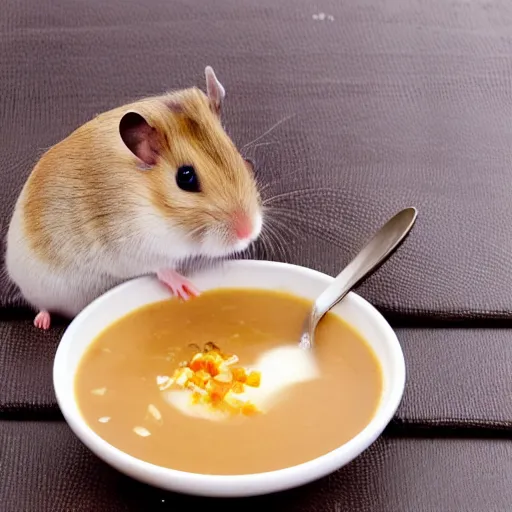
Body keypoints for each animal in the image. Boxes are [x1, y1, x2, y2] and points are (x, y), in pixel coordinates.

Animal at [3, 66, 260, 330]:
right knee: (42, 306)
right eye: (186, 177)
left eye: (240, 158)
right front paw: (186, 287)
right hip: (34, 287)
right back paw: (42, 321)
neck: (152, 204)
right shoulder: (132, 247)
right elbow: (161, 267)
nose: (249, 233)